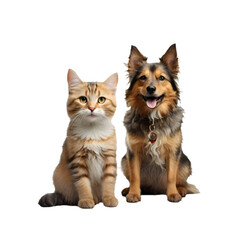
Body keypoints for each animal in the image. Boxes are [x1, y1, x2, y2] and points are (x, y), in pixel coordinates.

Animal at [38, 68, 118, 207]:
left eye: (101, 100)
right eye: (83, 99)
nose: (92, 108)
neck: (93, 132)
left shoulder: (109, 157)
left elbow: (109, 181)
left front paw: (109, 198)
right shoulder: (77, 160)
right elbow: (82, 184)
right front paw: (86, 200)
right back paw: (93, 199)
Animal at [122, 44, 199, 202]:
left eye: (162, 78)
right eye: (142, 78)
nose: (151, 89)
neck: (153, 118)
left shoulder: (173, 152)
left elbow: (171, 176)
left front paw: (173, 194)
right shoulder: (133, 152)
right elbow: (135, 176)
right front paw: (133, 194)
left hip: (185, 163)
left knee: (182, 181)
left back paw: (181, 190)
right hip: (123, 161)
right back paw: (129, 190)